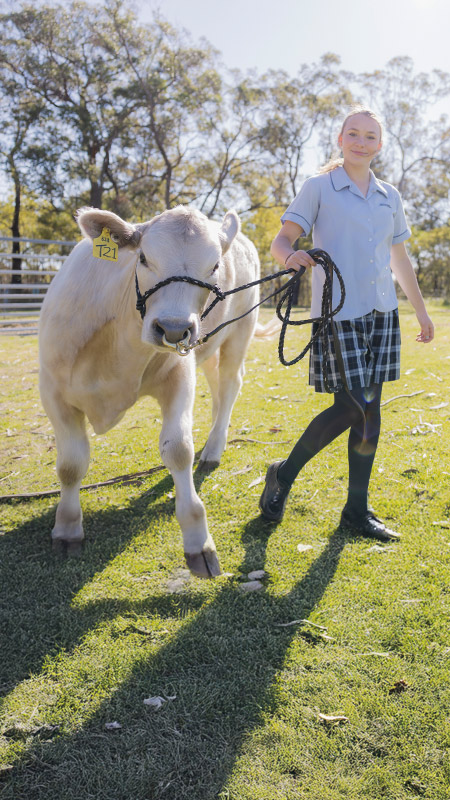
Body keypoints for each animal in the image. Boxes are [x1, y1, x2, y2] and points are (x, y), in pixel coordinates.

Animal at [39, 205, 270, 578]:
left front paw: (198, 542)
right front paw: (68, 529)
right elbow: (71, 465)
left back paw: (213, 448)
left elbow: (178, 450)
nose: (174, 329)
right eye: (144, 257)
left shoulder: (179, 374)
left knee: (231, 383)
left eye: (215, 266)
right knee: (218, 388)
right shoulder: (52, 390)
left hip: (239, 331)